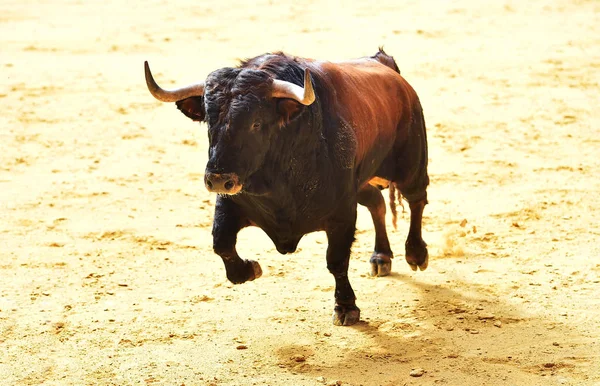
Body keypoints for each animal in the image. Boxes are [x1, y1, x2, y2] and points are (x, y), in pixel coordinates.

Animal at [143, 49, 428, 326]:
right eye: (209, 122)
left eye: (256, 123)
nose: (218, 179)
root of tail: (387, 66)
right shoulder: (230, 202)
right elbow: (221, 243)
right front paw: (249, 269)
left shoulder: (341, 213)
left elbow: (336, 260)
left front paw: (346, 307)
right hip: (361, 183)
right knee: (376, 203)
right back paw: (381, 257)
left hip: (411, 165)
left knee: (416, 200)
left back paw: (416, 254)